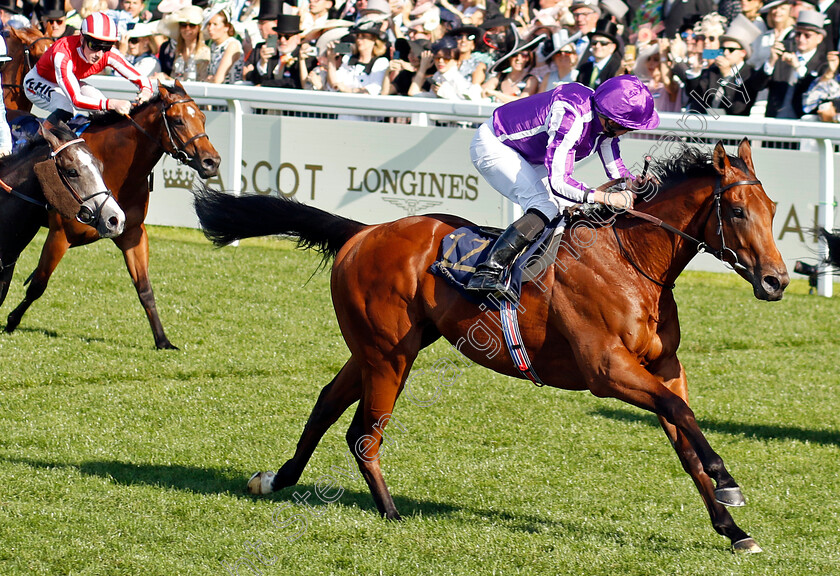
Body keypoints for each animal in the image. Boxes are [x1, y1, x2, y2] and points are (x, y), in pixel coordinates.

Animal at [195, 141, 788, 552]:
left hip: (373, 350)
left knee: (325, 404)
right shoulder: (608, 370)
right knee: (363, 434)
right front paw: (729, 484)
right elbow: (680, 415)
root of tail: (362, 232)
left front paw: (733, 528)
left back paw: (277, 478)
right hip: (390, 355)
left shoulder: (664, 365)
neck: (631, 261)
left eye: (773, 207)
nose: (778, 280)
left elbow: (684, 437)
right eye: (737, 211)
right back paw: (390, 513)